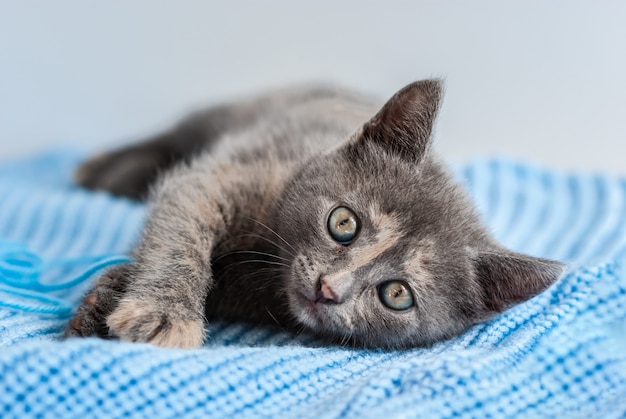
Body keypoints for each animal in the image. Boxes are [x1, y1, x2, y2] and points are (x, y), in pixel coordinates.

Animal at [66, 80, 564, 350]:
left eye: (397, 294)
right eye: (343, 223)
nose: (329, 288)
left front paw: (105, 299)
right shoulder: (227, 174)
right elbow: (182, 232)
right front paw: (164, 315)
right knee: (175, 134)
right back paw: (103, 169)